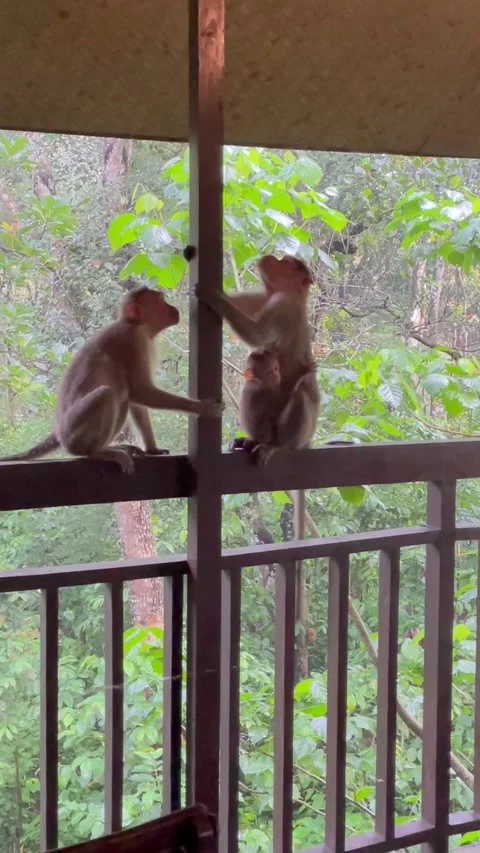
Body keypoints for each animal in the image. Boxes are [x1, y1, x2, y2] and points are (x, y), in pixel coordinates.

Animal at [0, 286, 223, 473]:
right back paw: (95, 452)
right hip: (74, 435)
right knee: (107, 394)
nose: (172, 307)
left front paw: (153, 448)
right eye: (161, 300)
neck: (134, 324)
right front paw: (203, 408)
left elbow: (136, 400)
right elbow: (141, 390)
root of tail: (59, 432)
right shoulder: (133, 343)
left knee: (121, 397)